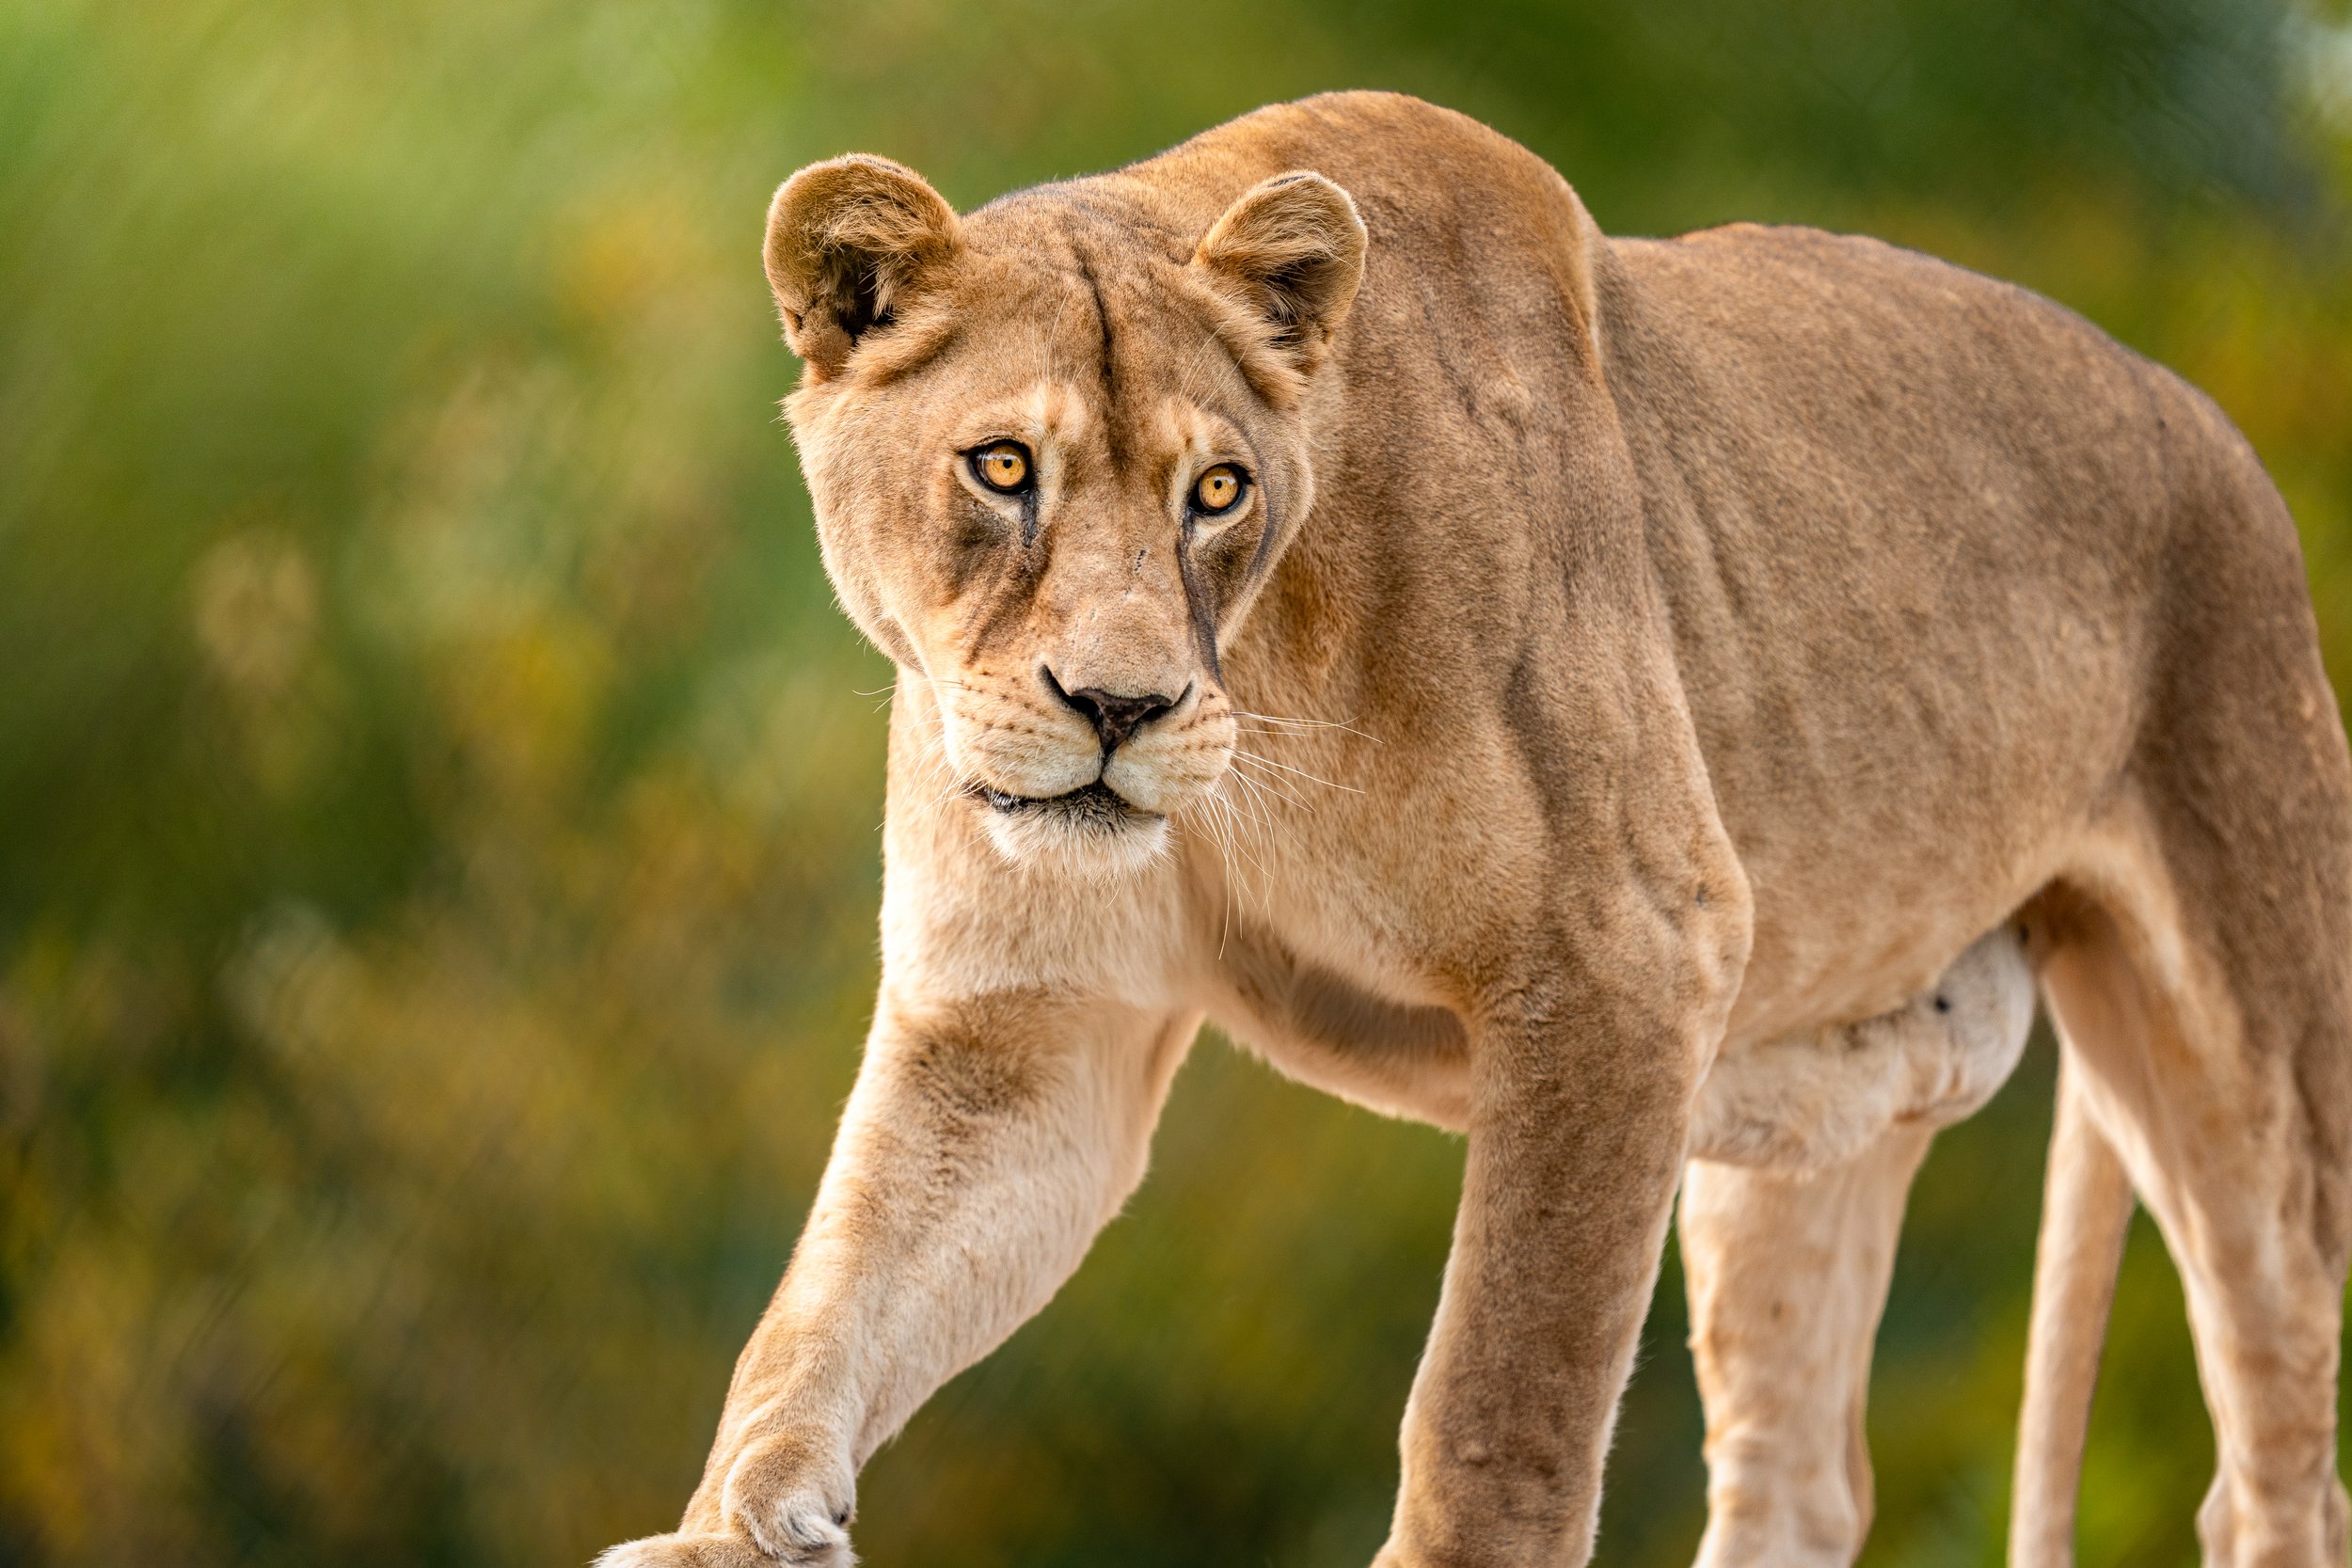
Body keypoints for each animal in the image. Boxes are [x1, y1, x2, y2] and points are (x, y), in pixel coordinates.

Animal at [599, 92, 2352, 1568]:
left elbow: (1501, 1390)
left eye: (1216, 491)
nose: (1121, 707)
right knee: (1797, 1476)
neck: (1265, 690)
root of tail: (2206, 418)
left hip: (2249, 1069)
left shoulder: (1627, 952)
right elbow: (830, 1297)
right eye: (1004, 466)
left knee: (2278, 1459)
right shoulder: (1029, 1029)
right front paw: (733, 1521)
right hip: (1797, 1109)